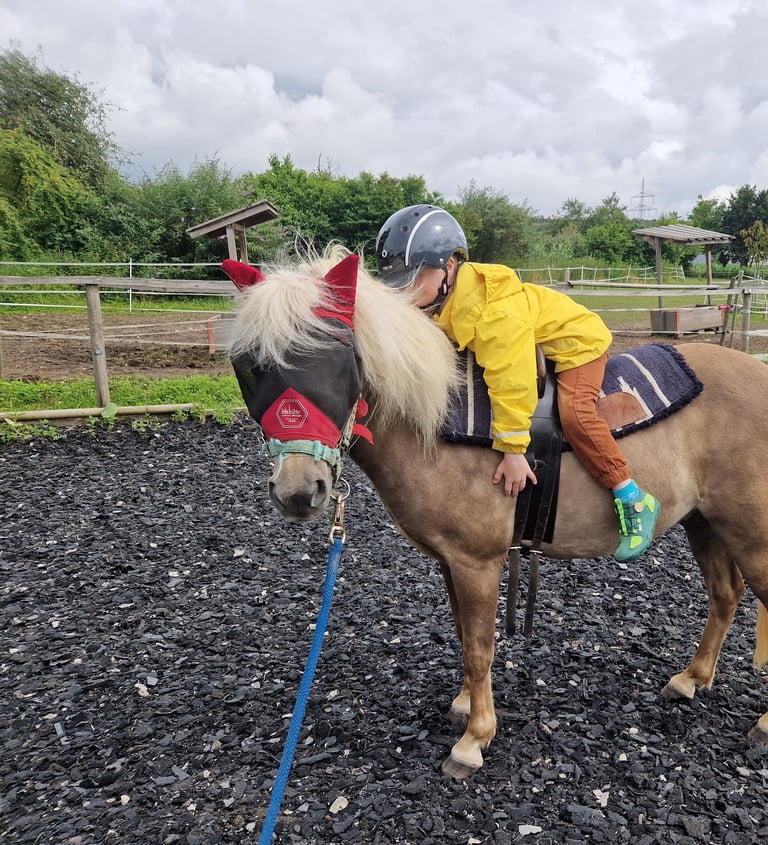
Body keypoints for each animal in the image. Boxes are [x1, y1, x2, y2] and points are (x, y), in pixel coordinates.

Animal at [222, 247, 768, 779]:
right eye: (248, 367)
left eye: (340, 360)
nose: (298, 491)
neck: (436, 424)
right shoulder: (451, 562)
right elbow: (465, 635)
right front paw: (465, 705)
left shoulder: (478, 562)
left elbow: (481, 647)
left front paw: (474, 739)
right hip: (705, 523)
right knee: (725, 594)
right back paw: (691, 679)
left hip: (750, 536)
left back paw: (759, 723)